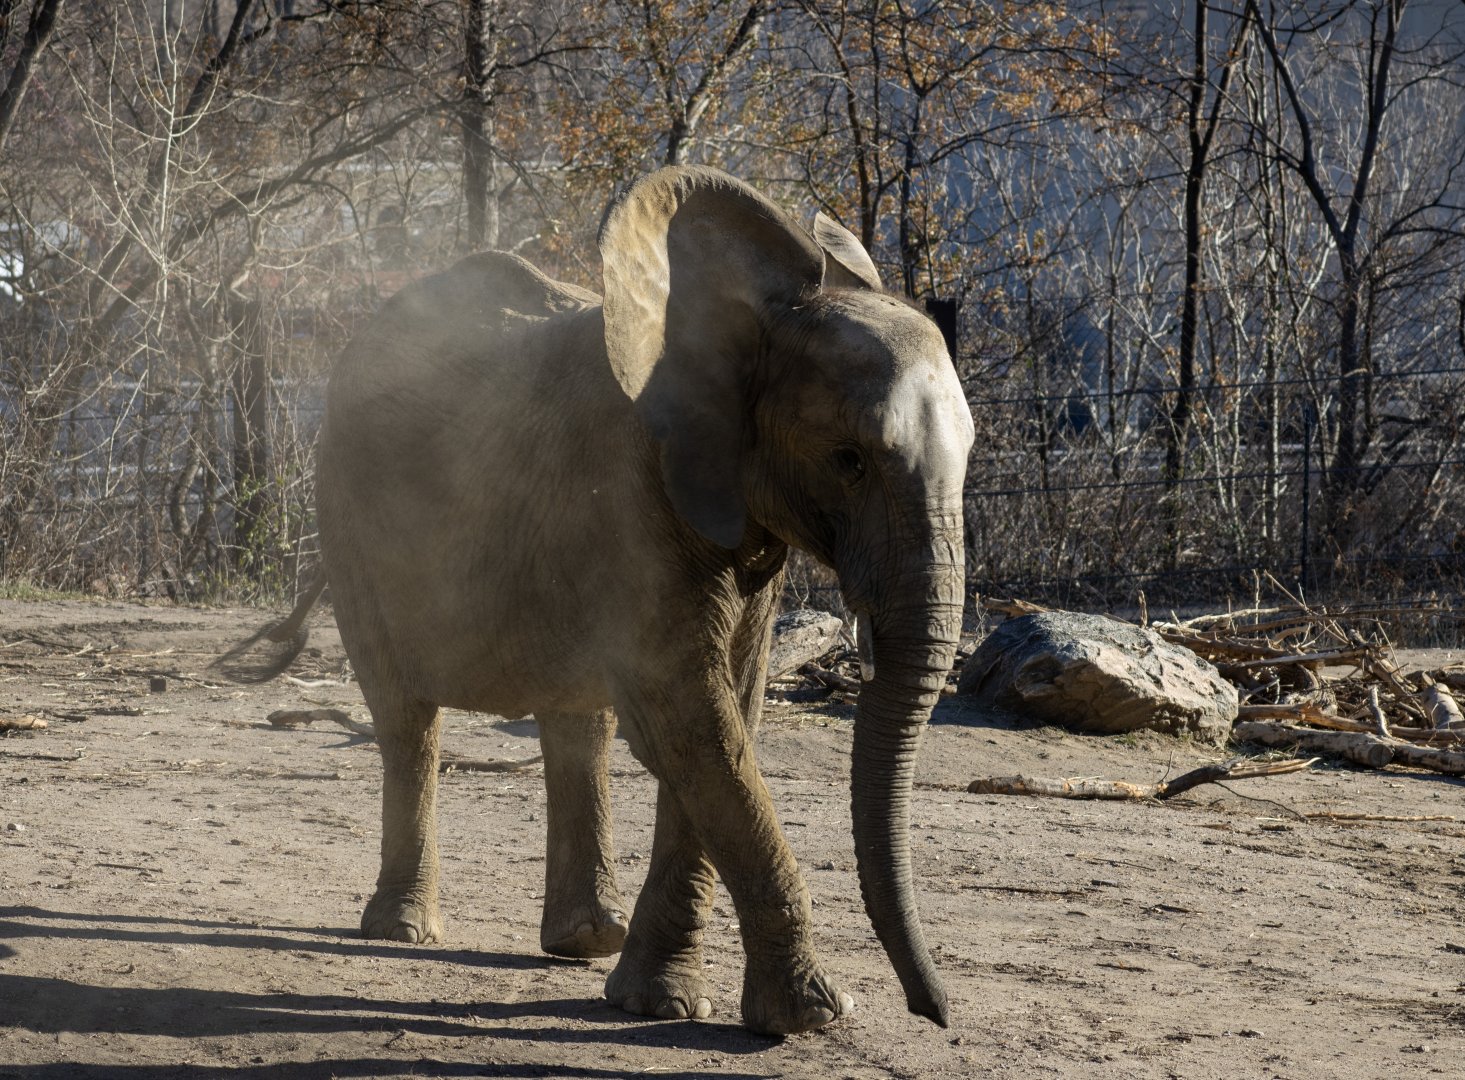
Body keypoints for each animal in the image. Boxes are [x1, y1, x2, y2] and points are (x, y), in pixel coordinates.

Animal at [238, 166, 974, 1035]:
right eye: (849, 459)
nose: (936, 1014)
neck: (754, 313)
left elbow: (727, 713)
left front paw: (659, 1002)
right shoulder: (629, 491)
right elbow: (689, 719)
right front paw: (808, 1016)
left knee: (575, 723)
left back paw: (585, 940)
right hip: (349, 516)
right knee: (405, 715)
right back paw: (404, 929)